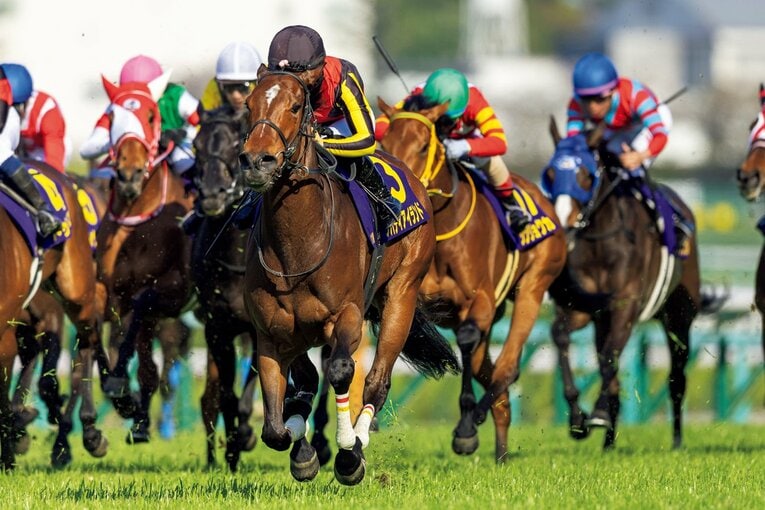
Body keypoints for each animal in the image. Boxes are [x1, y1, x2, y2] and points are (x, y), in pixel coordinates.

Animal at [95, 76, 194, 443]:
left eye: (151, 117)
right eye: (111, 115)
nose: (129, 174)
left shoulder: (173, 292)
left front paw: (124, 391)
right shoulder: (109, 291)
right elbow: (97, 335)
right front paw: (126, 402)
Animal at [239, 69, 459, 485]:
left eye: (296, 106)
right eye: (249, 104)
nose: (257, 160)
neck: (298, 245)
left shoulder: (347, 316)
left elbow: (341, 372)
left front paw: (346, 453)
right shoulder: (272, 332)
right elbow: (277, 424)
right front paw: (302, 450)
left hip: (402, 294)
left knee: (377, 380)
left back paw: (357, 443)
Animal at [376, 99, 567, 462]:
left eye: (423, 146)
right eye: (386, 143)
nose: (402, 187)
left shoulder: (478, 301)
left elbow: (465, 340)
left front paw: (465, 429)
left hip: (533, 287)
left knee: (507, 367)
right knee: (491, 377)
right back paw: (501, 454)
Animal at [544, 118, 713, 450]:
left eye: (585, 175)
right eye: (551, 175)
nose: (564, 225)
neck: (601, 244)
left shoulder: (626, 305)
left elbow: (610, 358)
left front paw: (595, 414)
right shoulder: (584, 308)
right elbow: (562, 337)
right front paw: (578, 419)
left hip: (679, 316)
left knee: (676, 378)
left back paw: (676, 440)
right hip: (604, 322)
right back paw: (609, 442)